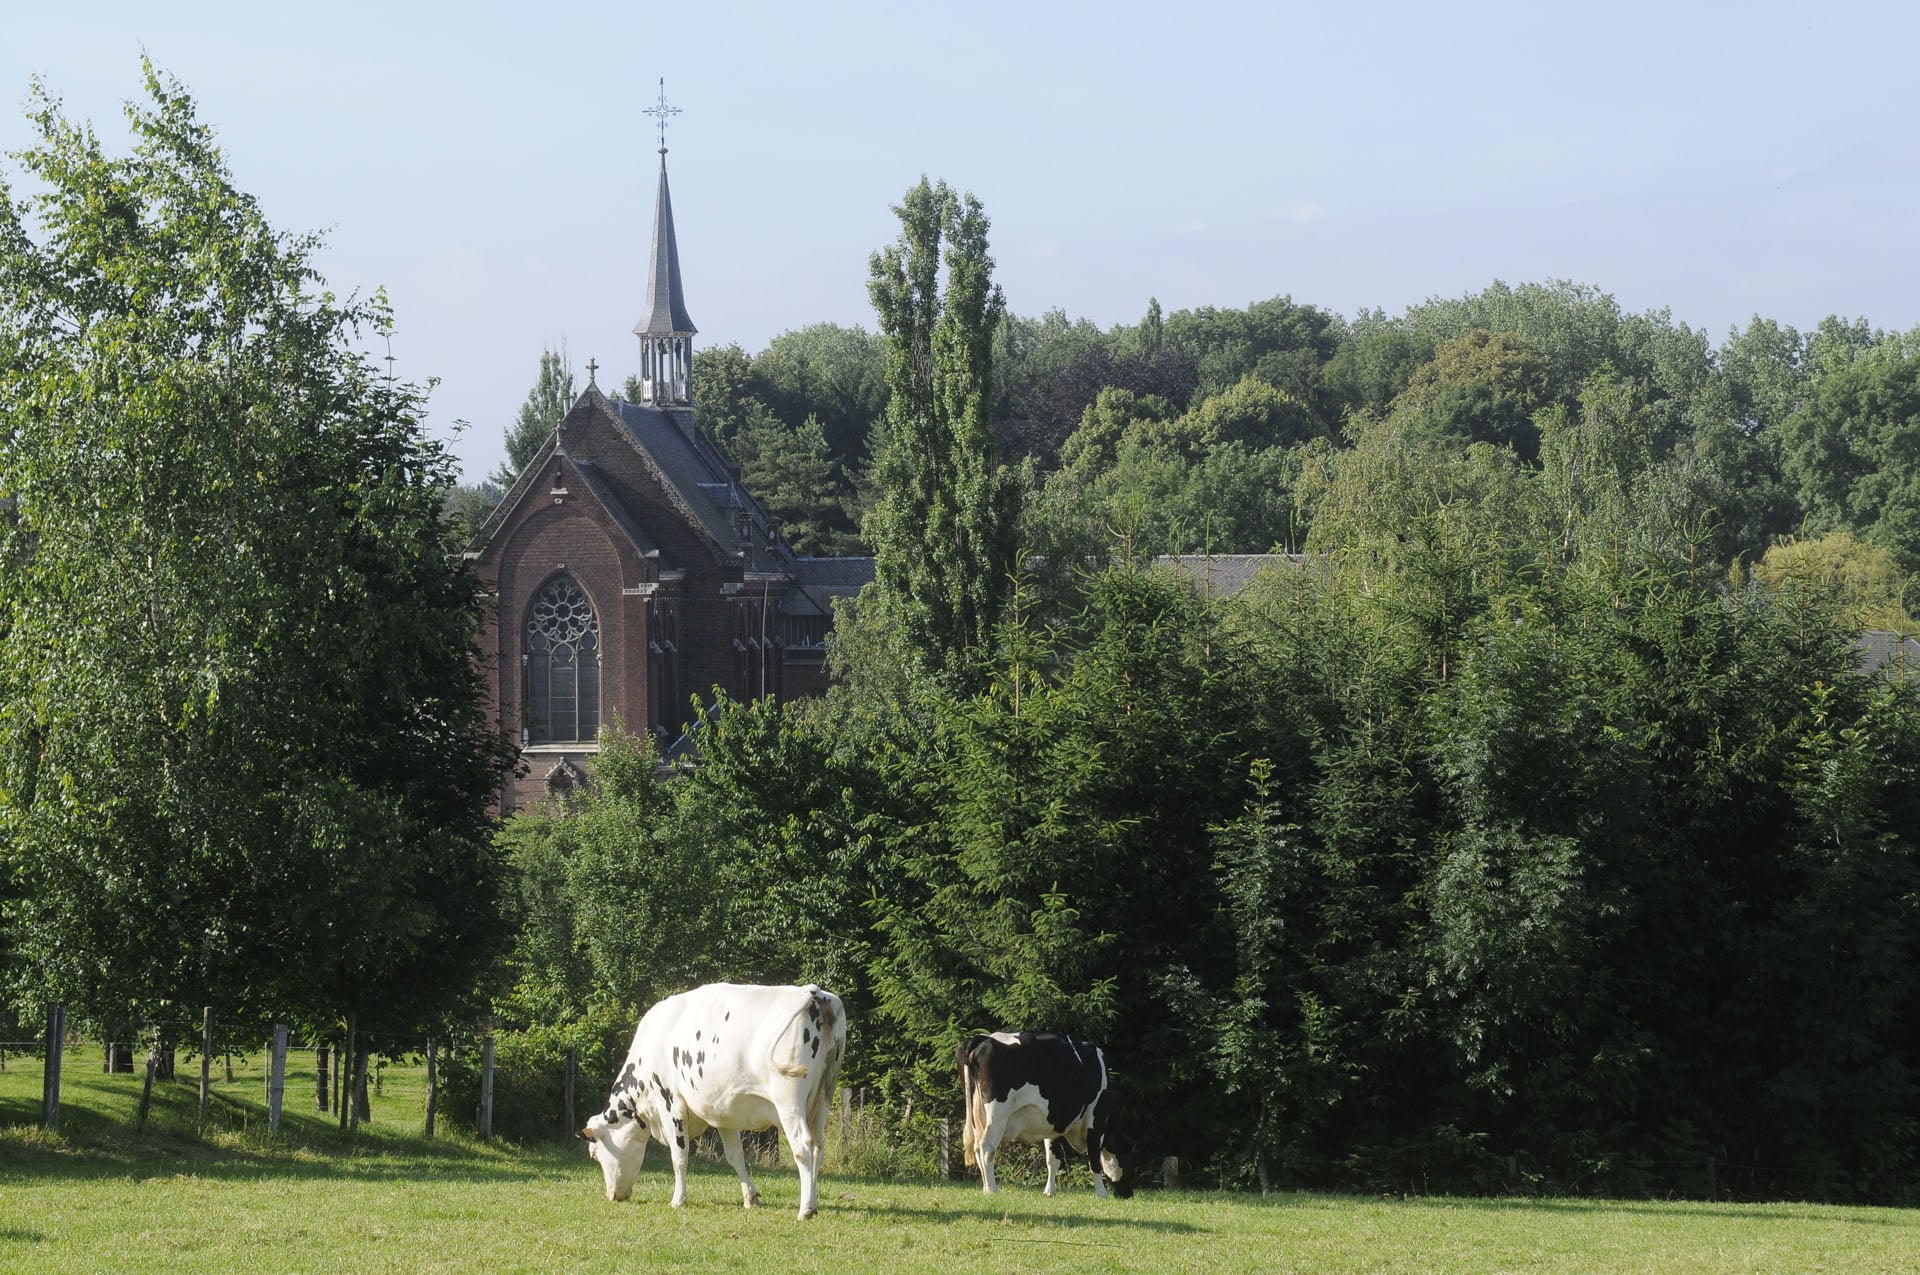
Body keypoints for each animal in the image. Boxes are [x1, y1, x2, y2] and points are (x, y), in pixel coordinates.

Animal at [579, 979, 844, 1221]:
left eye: (594, 1154)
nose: (612, 1196)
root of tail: (812, 993)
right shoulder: (723, 1112)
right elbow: (734, 1156)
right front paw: (750, 1197)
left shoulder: (670, 1102)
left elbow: (679, 1156)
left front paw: (678, 1199)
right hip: (824, 1095)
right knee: (818, 1146)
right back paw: (814, 1201)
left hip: (788, 1100)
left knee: (803, 1147)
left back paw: (805, 1208)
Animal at [956, 1029, 1121, 1198]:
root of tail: (984, 1038)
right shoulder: (1096, 1118)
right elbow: (1094, 1158)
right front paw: (1102, 1193)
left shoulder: (1055, 1123)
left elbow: (1052, 1159)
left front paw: (1049, 1191)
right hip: (997, 1114)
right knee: (987, 1148)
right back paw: (991, 1190)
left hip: (976, 1115)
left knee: (977, 1148)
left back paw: (985, 1188)